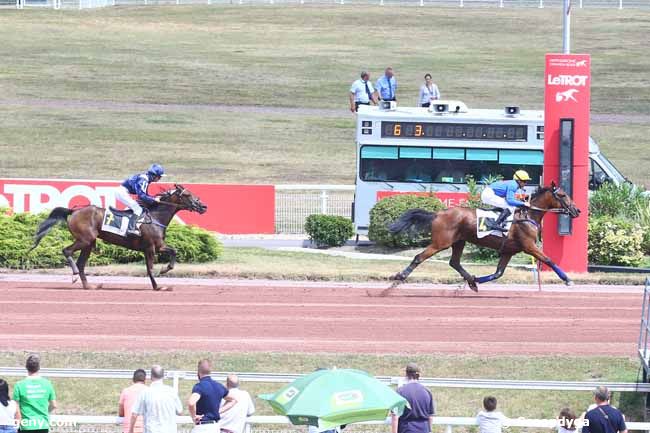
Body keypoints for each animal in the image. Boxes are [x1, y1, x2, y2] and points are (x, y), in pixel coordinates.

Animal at [29, 183, 205, 290]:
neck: (155, 217)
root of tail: (73, 211)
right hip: (85, 239)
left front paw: (165, 269)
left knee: (81, 263)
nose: (203, 206)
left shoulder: (159, 246)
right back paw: (74, 276)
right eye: (187, 195)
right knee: (67, 252)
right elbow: (150, 268)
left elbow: (174, 251)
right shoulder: (150, 247)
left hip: (88, 243)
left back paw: (89, 286)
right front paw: (158, 286)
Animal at [388, 182, 580, 290]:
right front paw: (568, 280)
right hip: (441, 243)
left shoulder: (508, 251)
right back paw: (400, 276)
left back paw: (471, 281)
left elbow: (498, 273)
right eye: (562, 195)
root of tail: (438, 214)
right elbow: (549, 260)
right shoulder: (529, 247)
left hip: (459, 241)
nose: (577, 210)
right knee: (419, 257)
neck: (528, 215)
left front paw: (476, 280)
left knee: (454, 262)